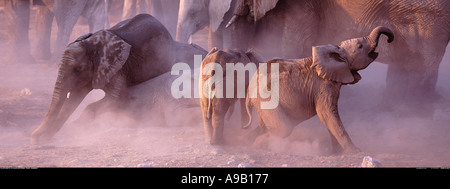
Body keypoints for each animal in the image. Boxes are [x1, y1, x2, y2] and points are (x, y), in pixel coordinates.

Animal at [31, 13, 207, 143]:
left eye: (78, 69)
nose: (33, 138)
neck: (93, 41)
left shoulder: (119, 67)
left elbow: (114, 99)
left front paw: (78, 126)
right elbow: (75, 98)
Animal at [243, 26, 394, 154]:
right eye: (360, 46)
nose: (389, 39)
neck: (336, 50)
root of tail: (249, 93)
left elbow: (328, 116)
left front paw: (337, 153)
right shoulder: (323, 85)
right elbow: (326, 113)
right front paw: (356, 152)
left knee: (265, 127)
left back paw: (247, 141)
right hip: (266, 99)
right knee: (283, 128)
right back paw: (259, 145)